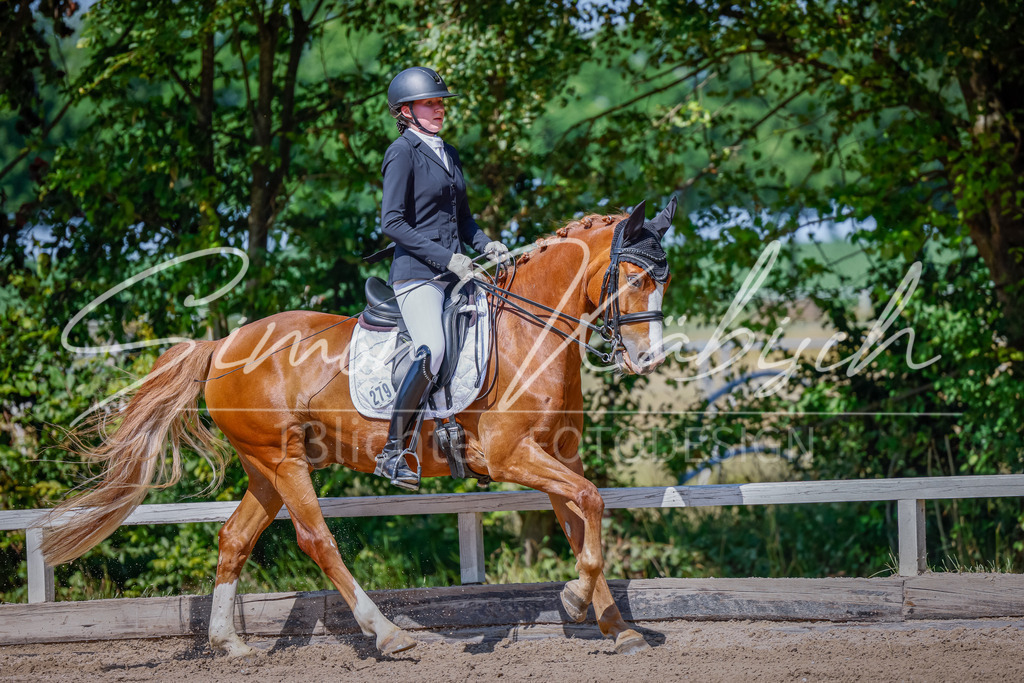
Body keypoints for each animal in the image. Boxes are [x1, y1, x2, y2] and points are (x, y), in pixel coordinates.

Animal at [39, 198, 676, 658]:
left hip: (266, 466)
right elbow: (590, 506)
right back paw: (387, 633)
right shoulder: (511, 455)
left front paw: (613, 625)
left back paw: (231, 644)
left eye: (662, 280)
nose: (646, 360)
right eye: (634, 280)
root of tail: (224, 345)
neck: (532, 333)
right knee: (317, 540)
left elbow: (581, 519)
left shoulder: (558, 457)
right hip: (284, 460)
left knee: (235, 539)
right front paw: (575, 600)